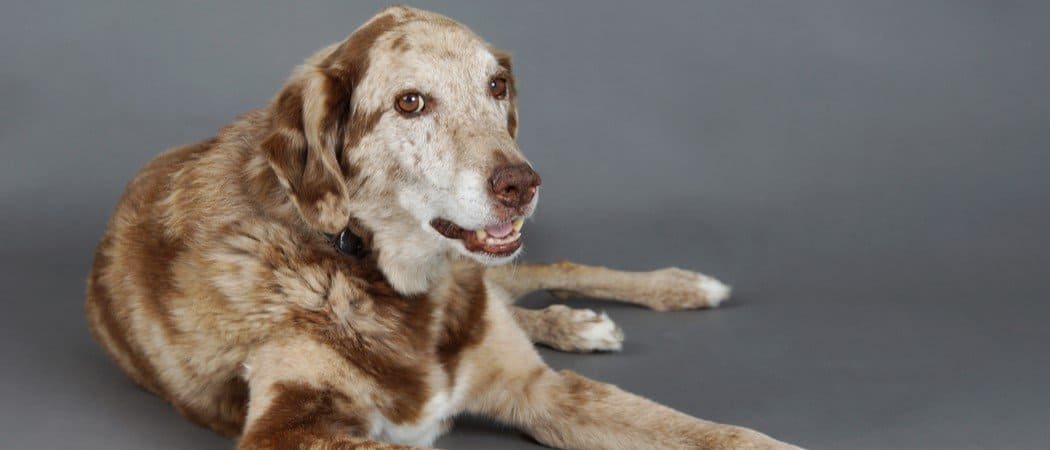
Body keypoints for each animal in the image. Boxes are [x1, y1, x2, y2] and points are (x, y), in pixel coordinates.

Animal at [86, 5, 797, 446]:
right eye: (410, 102)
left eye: (497, 85)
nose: (521, 185)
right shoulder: (289, 429)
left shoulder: (540, 389)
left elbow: (721, 435)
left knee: (543, 274)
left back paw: (665, 291)